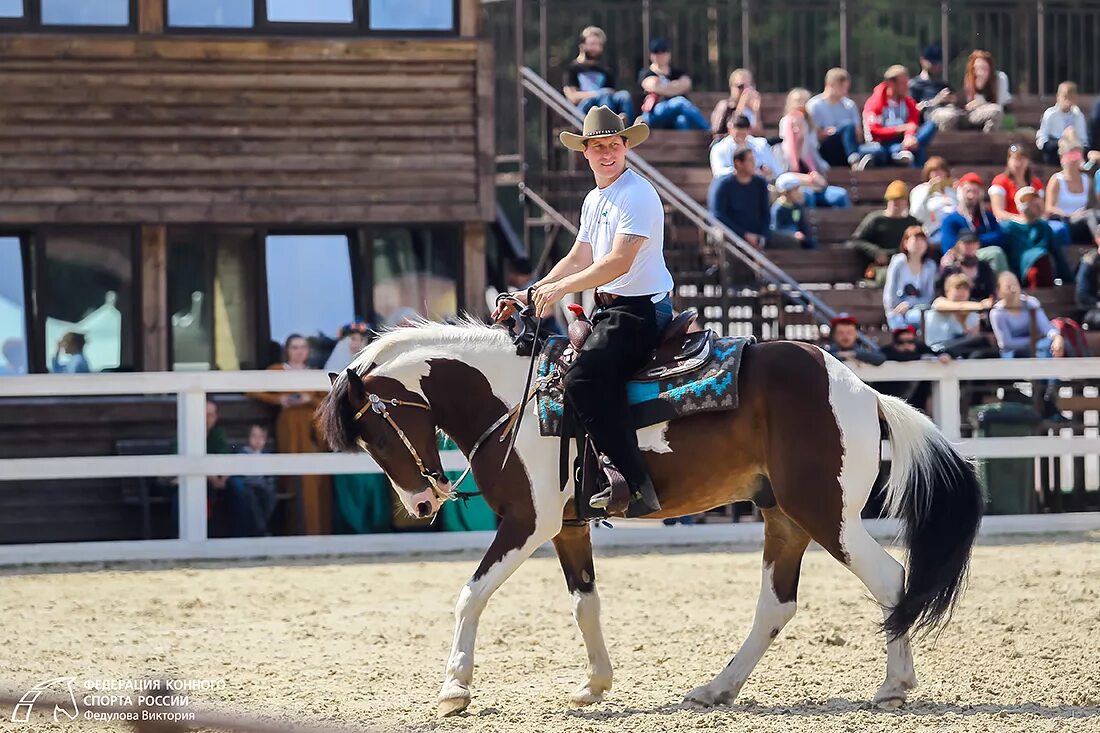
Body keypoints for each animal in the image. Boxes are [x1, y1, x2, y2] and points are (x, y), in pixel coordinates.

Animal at [316, 319, 981, 713]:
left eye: (378, 433)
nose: (422, 503)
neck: (514, 399)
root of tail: (864, 391)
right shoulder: (568, 526)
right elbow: (584, 603)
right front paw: (594, 685)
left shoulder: (527, 523)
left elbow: (470, 594)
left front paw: (455, 687)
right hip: (785, 518)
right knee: (776, 605)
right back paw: (716, 688)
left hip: (827, 514)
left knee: (891, 580)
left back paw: (894, 685)